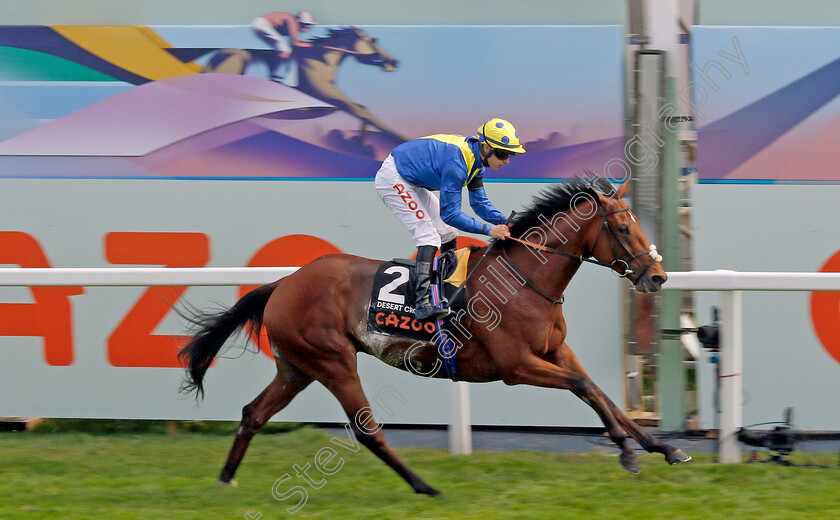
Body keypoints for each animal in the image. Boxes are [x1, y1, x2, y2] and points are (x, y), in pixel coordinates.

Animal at [177, 178, 688, 496]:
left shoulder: (556, 350)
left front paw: (662, 448)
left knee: (253, 414)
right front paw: (628, 454)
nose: (658, 277)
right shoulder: (517, 365)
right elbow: (585, 388)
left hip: (295, 368)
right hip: (332, 361)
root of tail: (284, 282)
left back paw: (225, 481)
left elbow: (602, 393)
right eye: (622, 227)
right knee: (366, 430)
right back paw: (425, 486)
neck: (525, 278)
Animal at [200, 26, 404, 142]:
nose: (393, 61)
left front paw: (361, 143)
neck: (321, 61)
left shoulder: (326, 99)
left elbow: (362, 109)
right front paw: (401, 139)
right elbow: (364, 113)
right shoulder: (328, 95)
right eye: (372, 40)